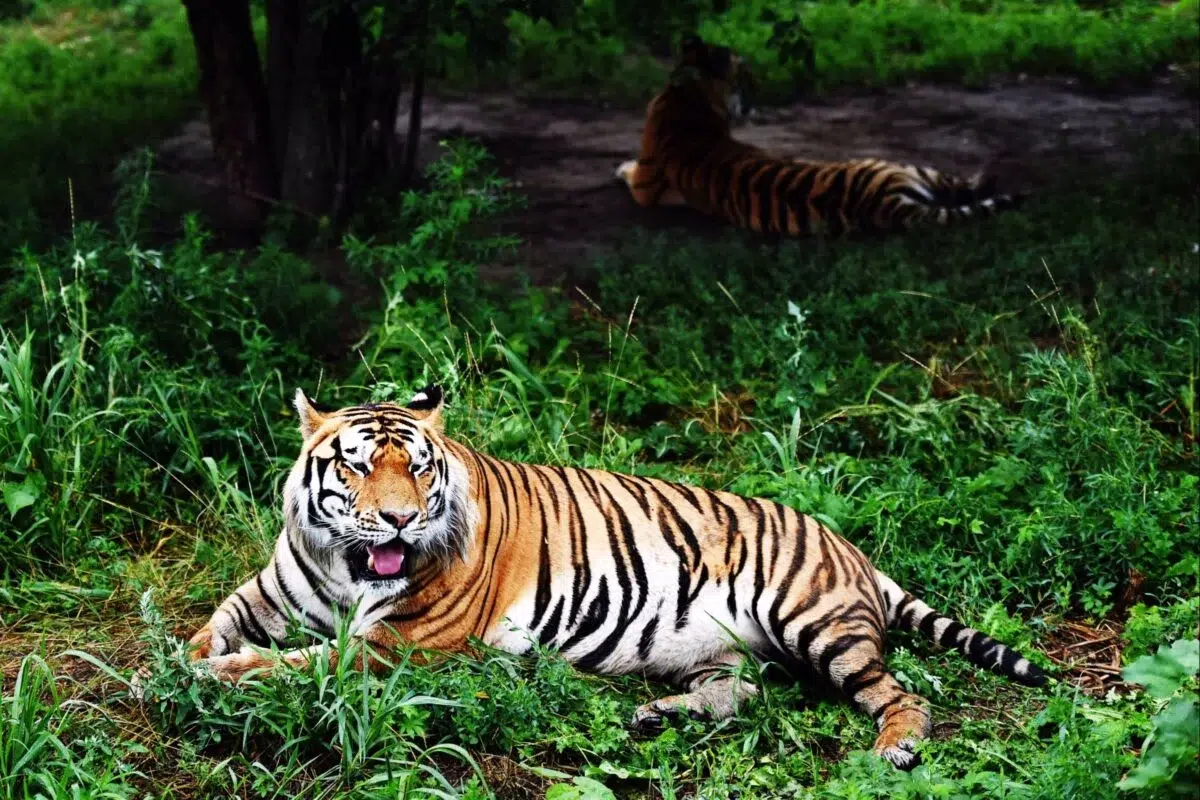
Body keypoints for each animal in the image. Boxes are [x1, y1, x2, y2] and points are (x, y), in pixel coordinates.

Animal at [185, 385, 1046, 770]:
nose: (398, 520)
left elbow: (300, 664)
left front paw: (222, 675)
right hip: (716, 648)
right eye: (358, 466)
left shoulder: (403, 644)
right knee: (743, 691)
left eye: (420, 469)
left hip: (814, 620)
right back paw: (658, 717)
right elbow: (216, 622)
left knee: (903, 694)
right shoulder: (271, 591)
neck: (348, 564)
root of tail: (849, 546)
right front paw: (189, 656)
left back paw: (893, 750)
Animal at [615, 36, 1023, 236]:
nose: (760, 85)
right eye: (744, 73)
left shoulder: (646, 185)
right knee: (966, 185)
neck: (689, 95)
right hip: (907, 167)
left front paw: (620, 166)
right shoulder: (647, 186)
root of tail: (886, 204)